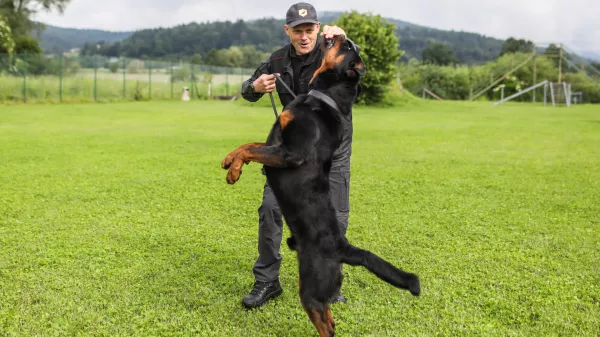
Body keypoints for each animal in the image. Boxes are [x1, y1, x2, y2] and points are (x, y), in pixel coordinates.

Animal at [221, 35, 422, 336]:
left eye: (348, 47)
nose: (339, 35)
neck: (322, 97)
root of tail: (342, 247)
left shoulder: (290, 153)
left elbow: (251, 150)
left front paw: (234, 171)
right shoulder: (276, 143)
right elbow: (249, 145)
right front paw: (229, 161)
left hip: (311, 288)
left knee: (326, 326)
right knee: (331, 319)